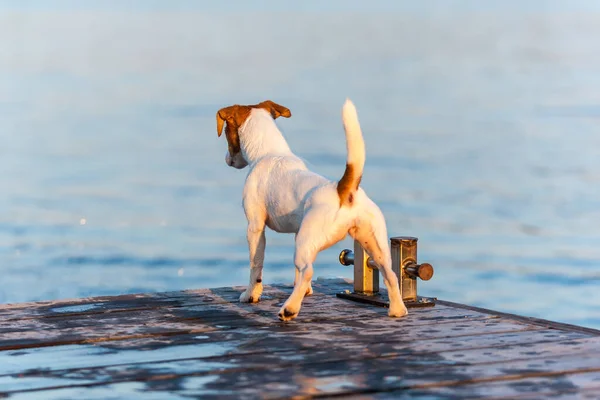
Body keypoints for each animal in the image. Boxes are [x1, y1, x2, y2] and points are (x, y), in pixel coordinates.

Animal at [216, 100, 408, 322]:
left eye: (226, 133)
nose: (226, 158)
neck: (270, 151)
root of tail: (343, 190)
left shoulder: (255, 227)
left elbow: (256, 265)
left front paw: (250, 295)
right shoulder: (297, 230)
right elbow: (296, 275)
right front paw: (305, 290)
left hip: (306, 243)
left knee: (307, 270)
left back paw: (289, 309)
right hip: (372, 244)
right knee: (390, 274)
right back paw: (397, 310)